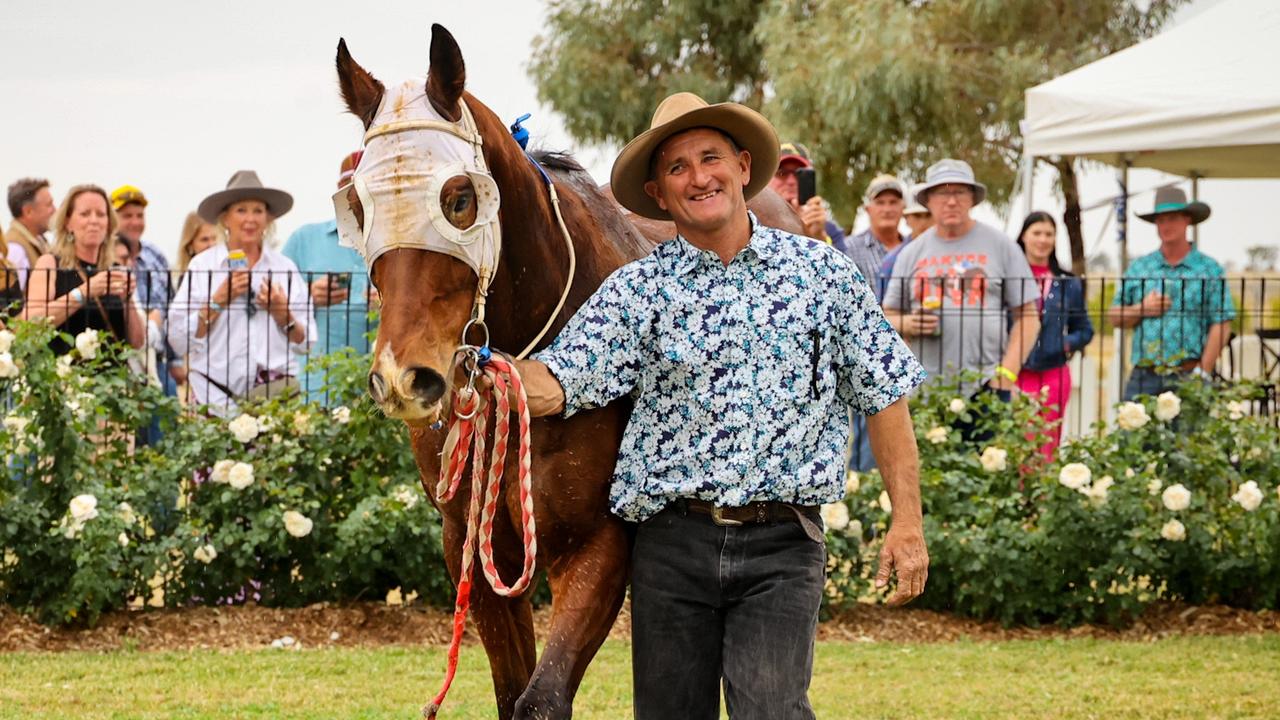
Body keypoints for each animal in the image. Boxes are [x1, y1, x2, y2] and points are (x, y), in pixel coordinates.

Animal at [335, 23, 803, 717]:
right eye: (362, 209)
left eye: (459, 199)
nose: (402, 377)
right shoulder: (472, 545)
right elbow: (512, 692)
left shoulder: (599, 545)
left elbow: (540, 698)